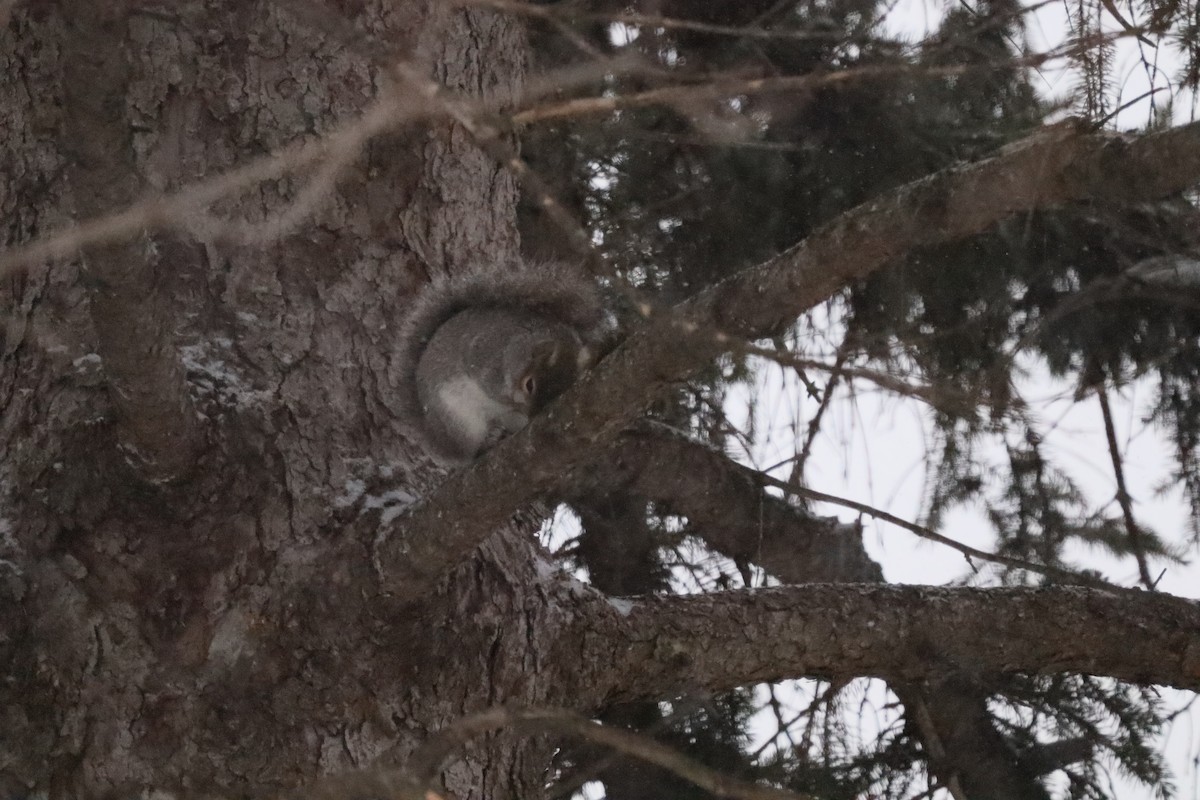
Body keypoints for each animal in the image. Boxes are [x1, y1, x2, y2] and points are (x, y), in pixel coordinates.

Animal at [394, 263, 611, 465]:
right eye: (529, 385)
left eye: (559, 394)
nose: (532, 415)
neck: (513, 347)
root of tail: (440, 441)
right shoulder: (483, 353)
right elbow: (489, 385)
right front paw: (506, 398)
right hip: (459, 421)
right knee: (471, 453)